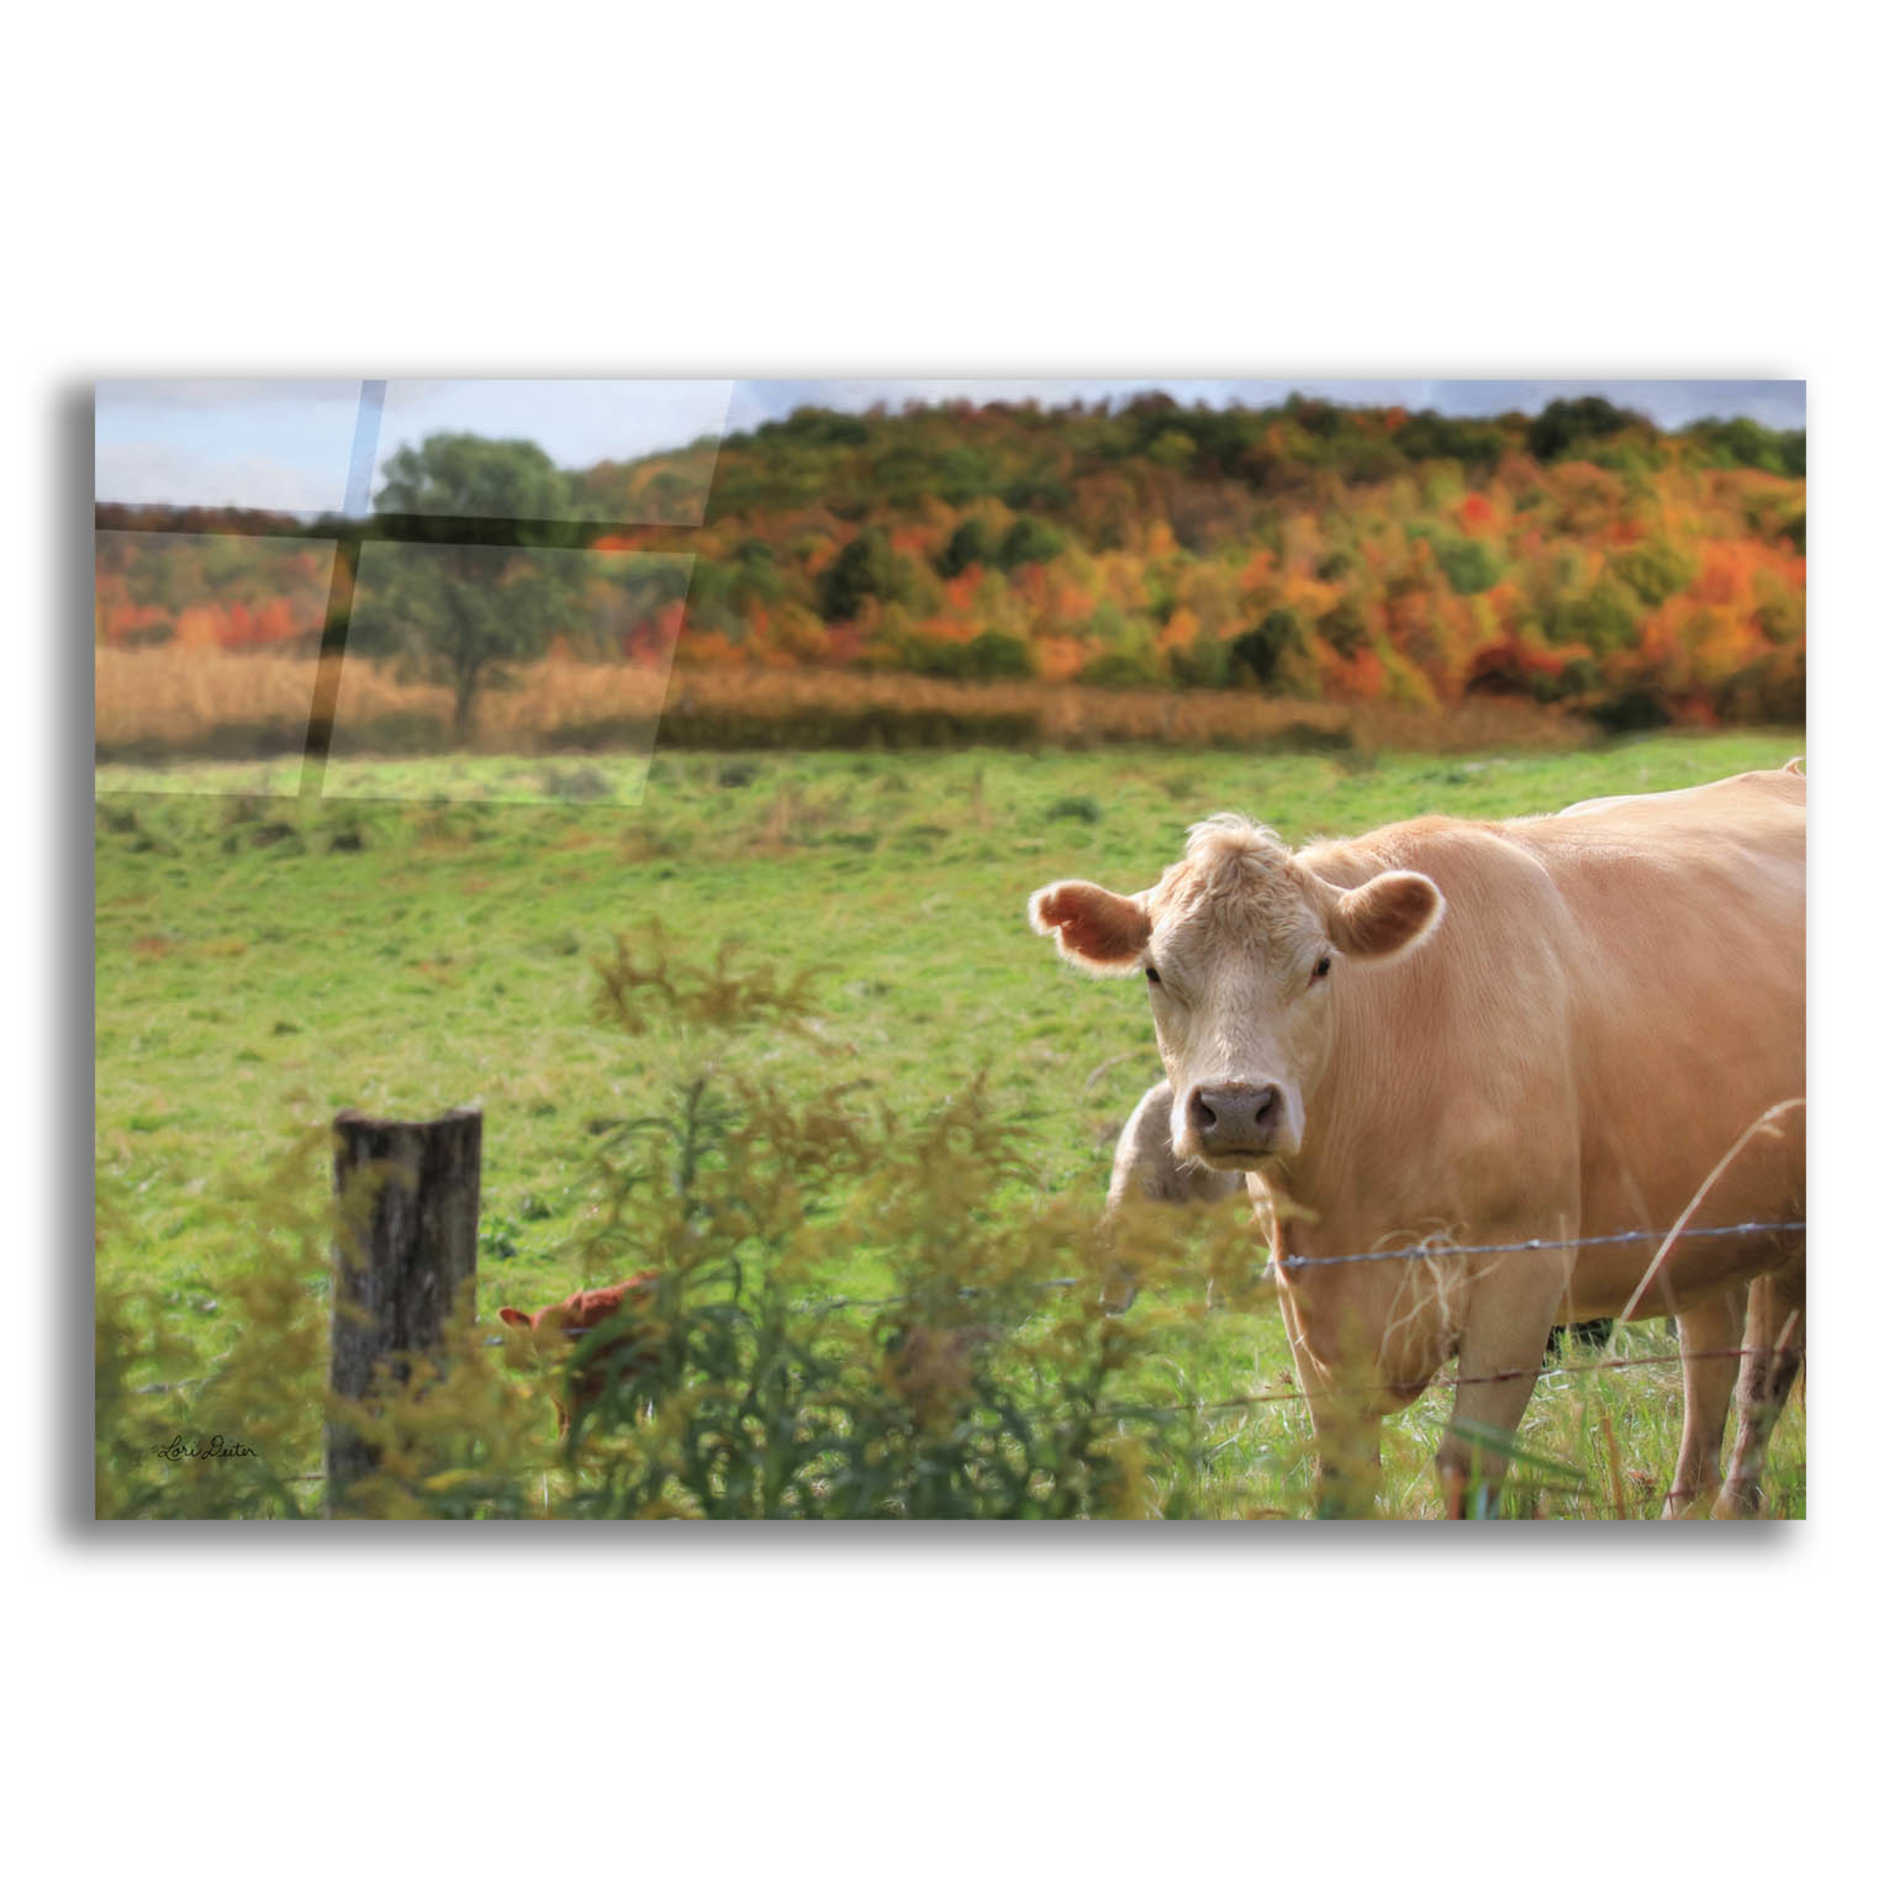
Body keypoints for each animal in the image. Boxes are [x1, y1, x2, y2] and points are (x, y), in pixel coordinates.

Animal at [1034, 765, 1805, 1518]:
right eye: (1155, 972)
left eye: (1321, 966)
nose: (1235, 1106)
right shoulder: (1307, 1302)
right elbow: (1344, 1480)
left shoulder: (1522, 1276)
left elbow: (1469, 1468)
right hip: (1702, 1230)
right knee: (1709, 1361)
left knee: (1762, 1381)